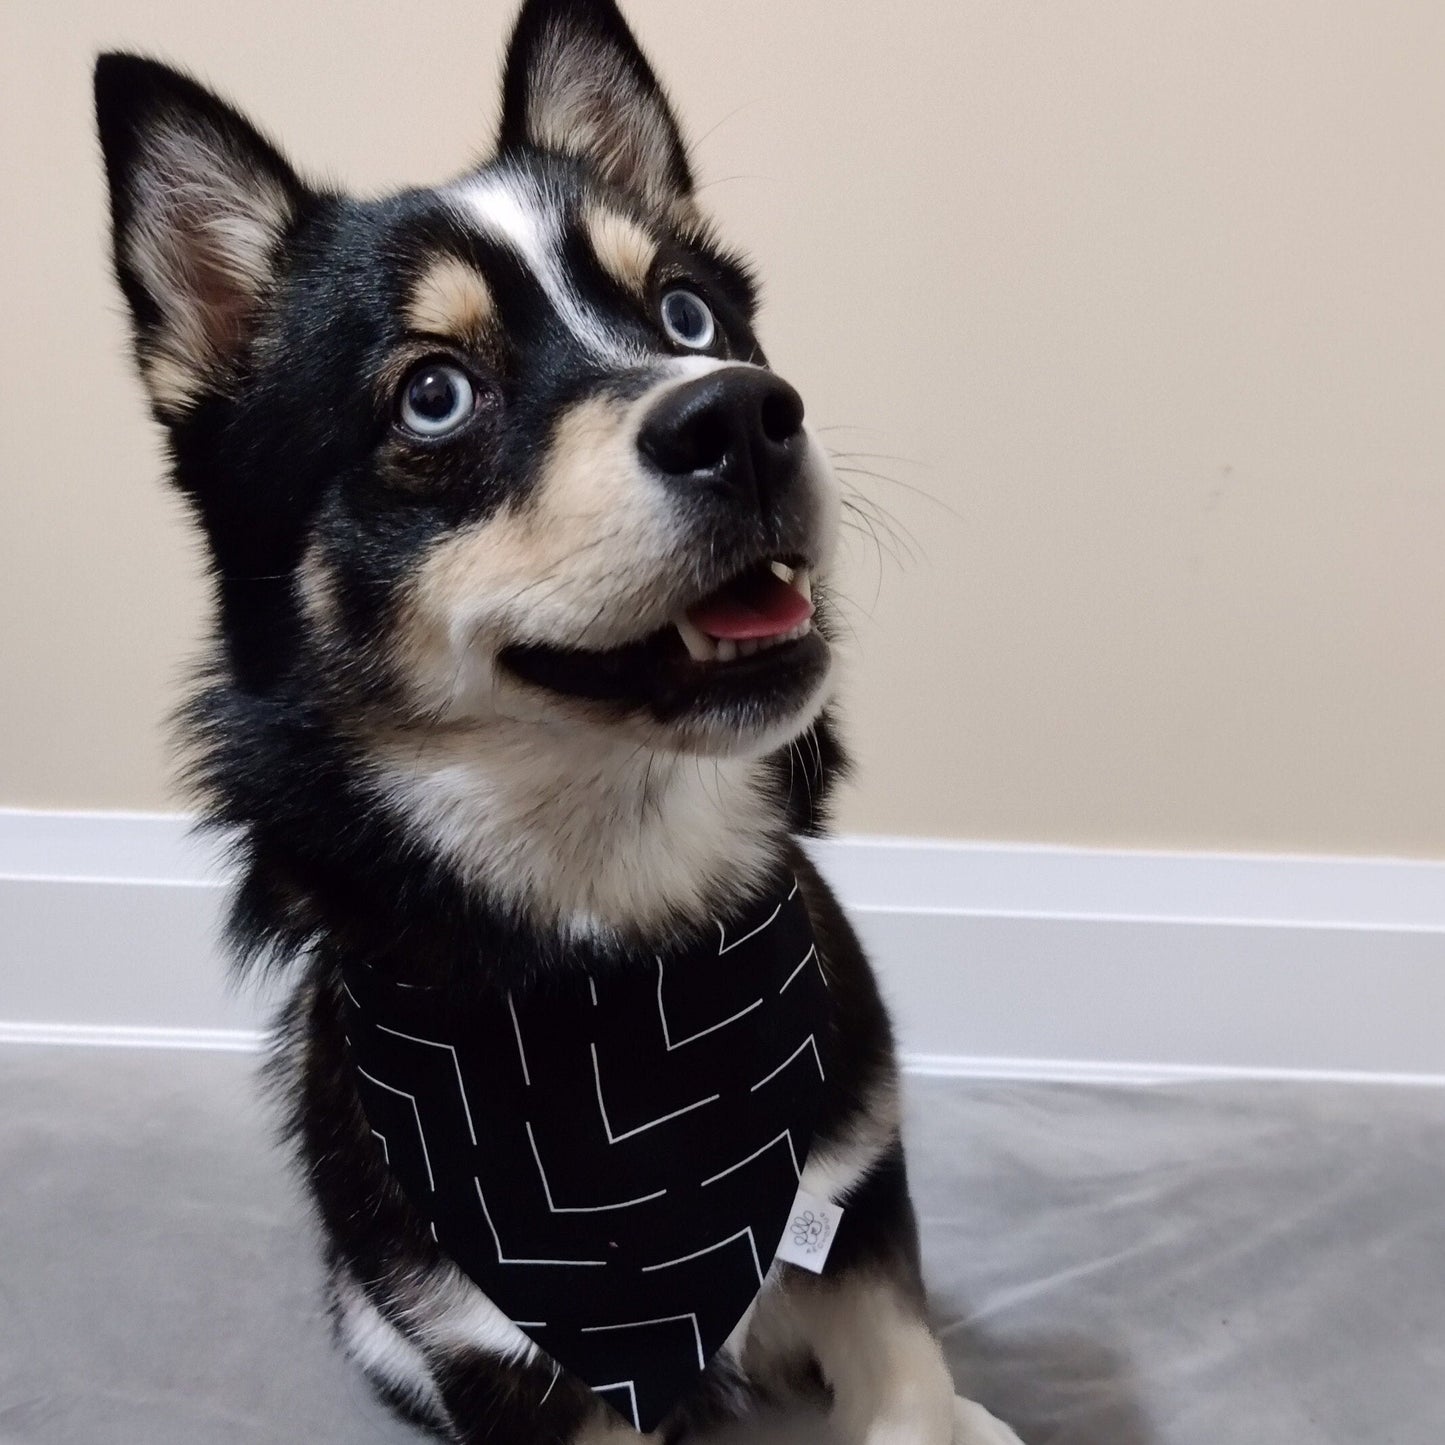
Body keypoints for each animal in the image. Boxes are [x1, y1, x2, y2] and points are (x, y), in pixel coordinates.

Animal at [96, 2, 1023, 1445]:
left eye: (689, 313)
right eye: (433, 395)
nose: (741, 413)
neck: (618, 946)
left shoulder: (859, 1192)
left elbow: (904, 1375)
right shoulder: (491, 1351)